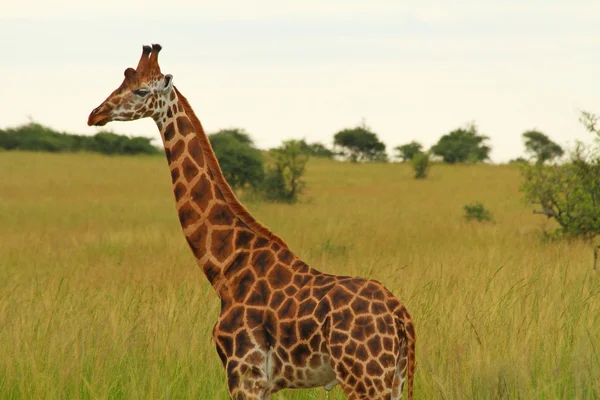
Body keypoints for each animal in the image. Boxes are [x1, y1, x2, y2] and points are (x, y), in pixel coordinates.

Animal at [89, 44, 414, 400]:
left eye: (141, 90)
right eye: (121, 81)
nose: (95, 114)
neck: (225, 268)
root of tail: (402, 318)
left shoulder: (243, 372)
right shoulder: (262, 381)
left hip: (364, 377)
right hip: (392, 380)